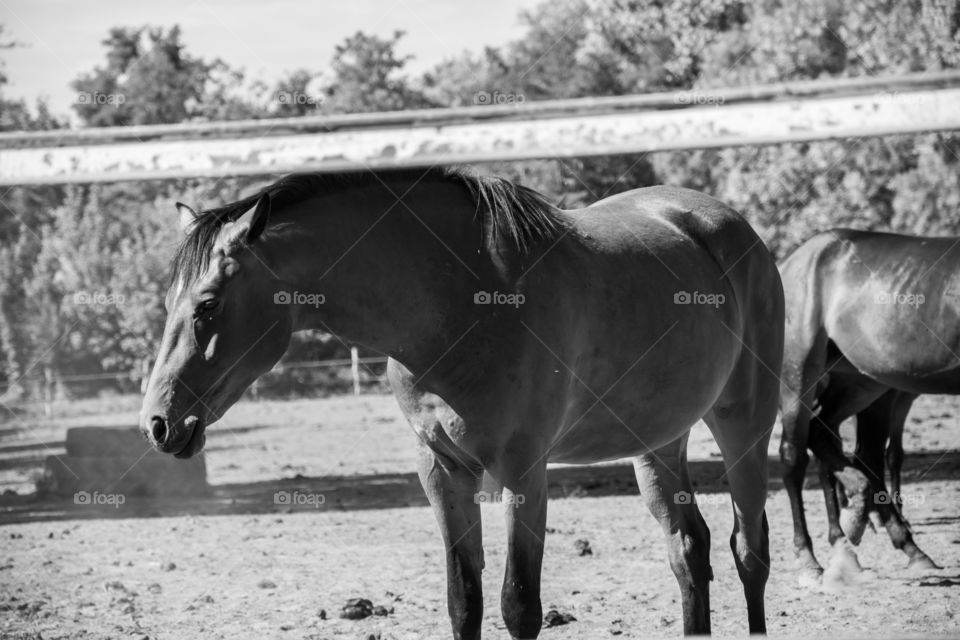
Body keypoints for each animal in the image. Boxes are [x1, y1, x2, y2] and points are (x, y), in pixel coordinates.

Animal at [139, 167, 784, 638]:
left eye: (207, 304)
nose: (159, 424)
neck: (460, 301)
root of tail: (727, 226)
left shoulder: (524, 470)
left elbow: (518, 604)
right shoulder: (443, 469)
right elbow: (463, 600)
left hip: (743, 428)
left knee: (749, 551)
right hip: (658, 442)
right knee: (688, 549)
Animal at [779, 229, 948, 586]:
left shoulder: (897, 398)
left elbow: (887, 455)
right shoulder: (888, 399)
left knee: (827, 450)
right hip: (802, 390)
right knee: (797, 457)